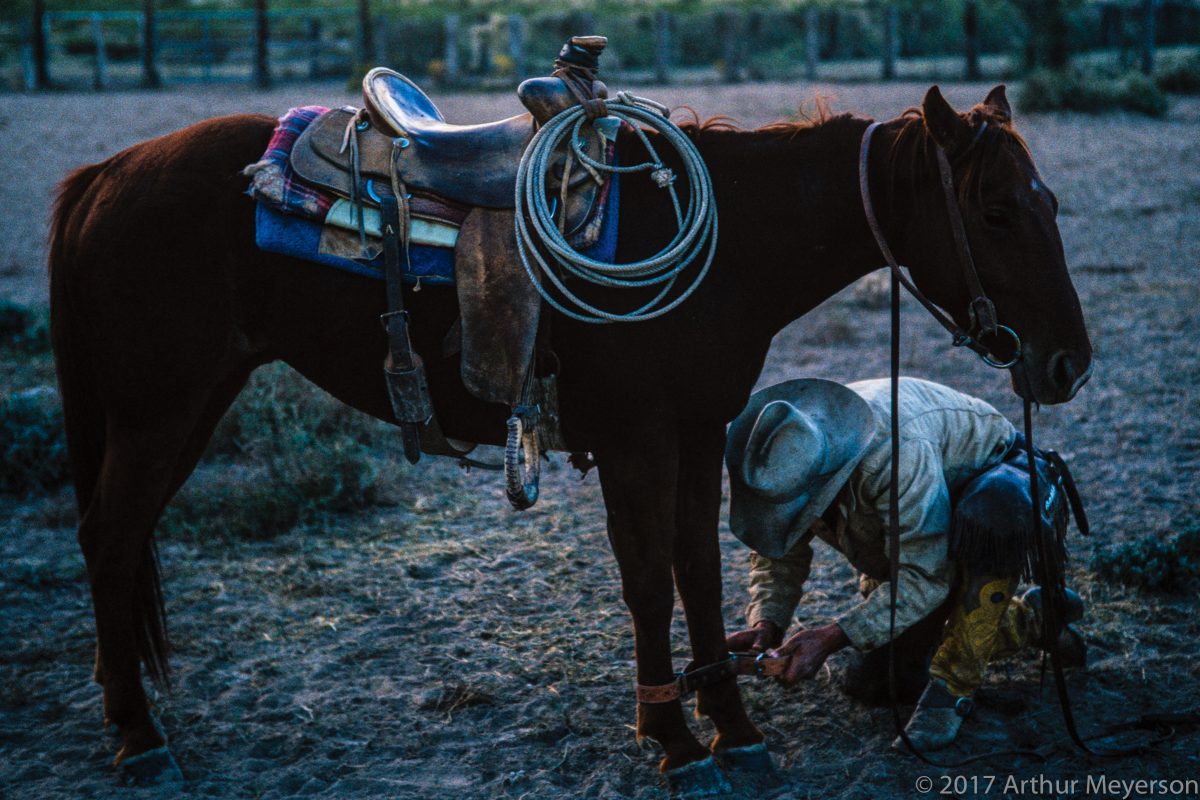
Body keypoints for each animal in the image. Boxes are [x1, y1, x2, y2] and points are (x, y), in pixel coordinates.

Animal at [51, 86, 1094, 786]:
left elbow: (697, 573)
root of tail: (103, 176)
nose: (1067, 365)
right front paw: (674, 741)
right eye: (996, 210)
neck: (731, 245)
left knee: (118, 542)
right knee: (110, 540)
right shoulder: (638, 443)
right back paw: (136, 737)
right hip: (161, 413)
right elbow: (647, 585)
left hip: (185, 407)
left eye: (1051, 202)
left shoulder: (697, 435)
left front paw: (734, 728)